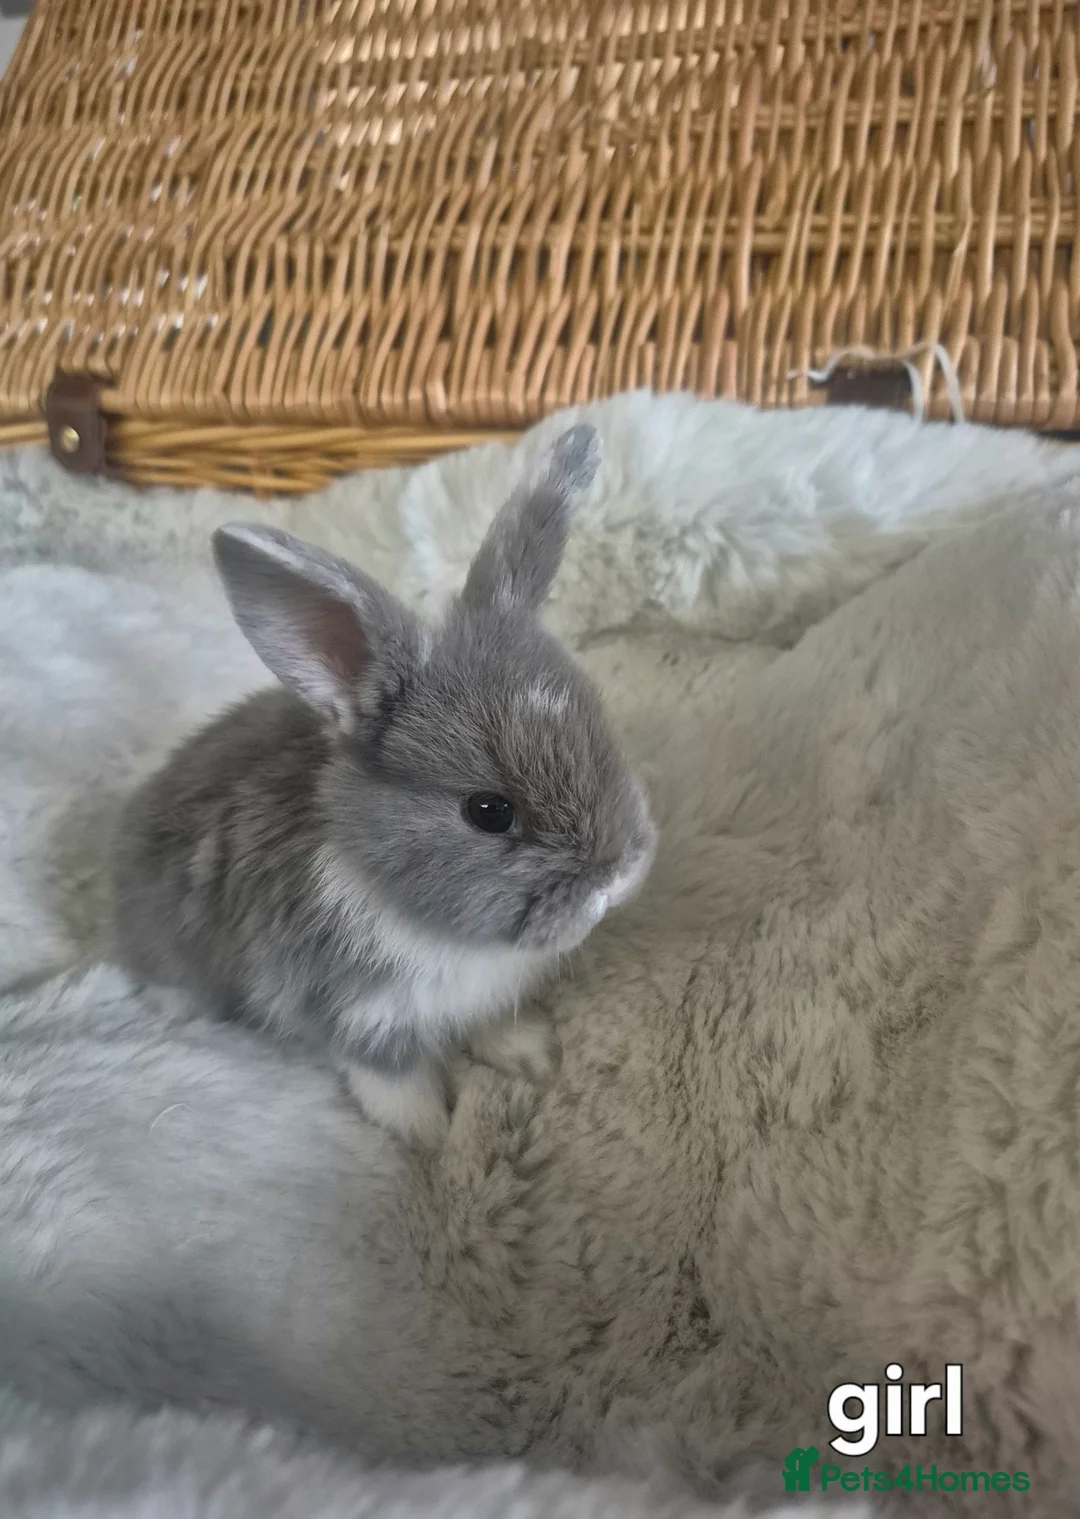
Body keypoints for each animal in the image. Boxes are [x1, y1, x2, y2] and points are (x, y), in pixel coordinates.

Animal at [110, 425, 657, 1148]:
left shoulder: (482, 997)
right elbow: (391, 1077)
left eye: (605, 738)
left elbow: (494, 1025)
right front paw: (428, 1132)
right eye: (489, 811)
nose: (619, 879)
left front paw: (534, 1056)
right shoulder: (360, 1012)